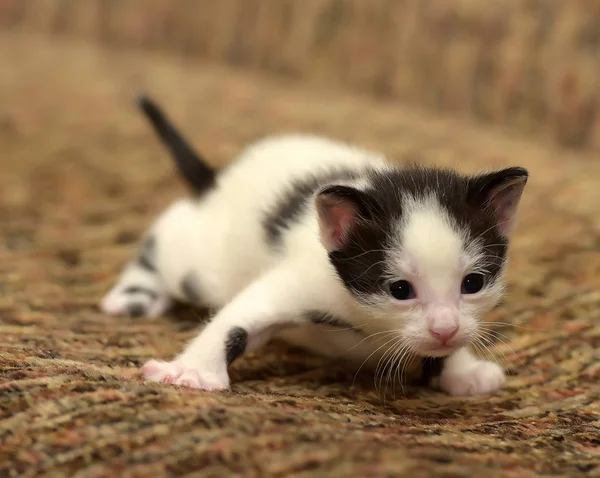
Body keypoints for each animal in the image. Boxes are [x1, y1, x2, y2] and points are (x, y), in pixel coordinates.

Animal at [101, 93, 528, 396]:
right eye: (400, 290)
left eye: (472, 283)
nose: (445, 329)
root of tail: (221, 179)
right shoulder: (308, 277)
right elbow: (236, 319)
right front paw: (190, 372)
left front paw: (462, 369)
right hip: (201, 261)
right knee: (169, 233)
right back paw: (135, 295)